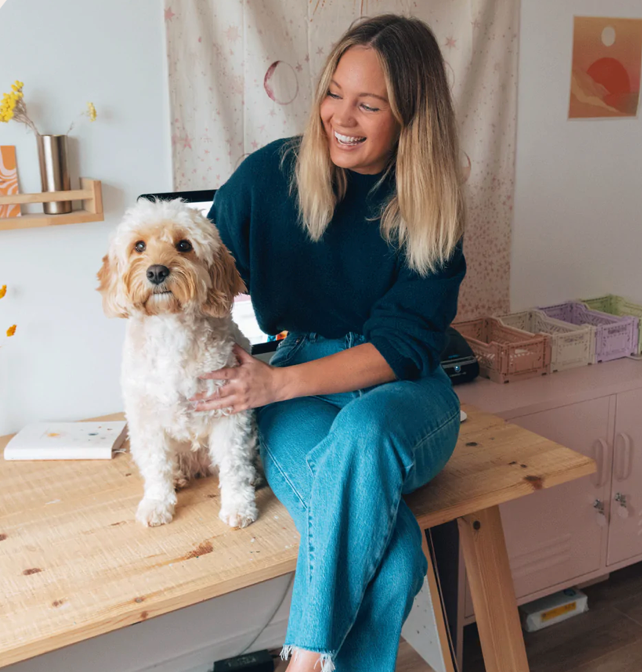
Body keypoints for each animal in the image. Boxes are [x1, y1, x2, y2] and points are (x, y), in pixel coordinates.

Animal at [97, 200, 258, 532]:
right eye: (139, 246)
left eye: (184, 245)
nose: (157, 271)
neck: (170, 329)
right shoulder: (145, 418)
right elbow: (157, 467)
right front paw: (157, 503)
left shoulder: (230, 410)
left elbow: (234, 465)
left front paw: (238, 505)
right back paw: (178, 478)